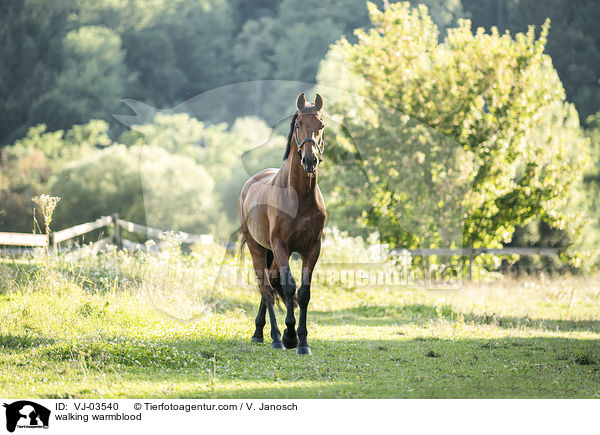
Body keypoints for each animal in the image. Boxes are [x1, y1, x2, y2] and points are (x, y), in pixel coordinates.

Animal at [238, 93, 326, 356]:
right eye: (298, 125)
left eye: (321, 126)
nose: (310, 160)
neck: (299, 198)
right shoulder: (281, 246)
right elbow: (288, 287)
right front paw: (290, 336)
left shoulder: (312, 248)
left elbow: (304, 292)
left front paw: (303, 342)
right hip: (258, 248)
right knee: (266, 289)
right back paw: (275, 337)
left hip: (273, 254)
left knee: (270, 282)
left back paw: (259, 332)